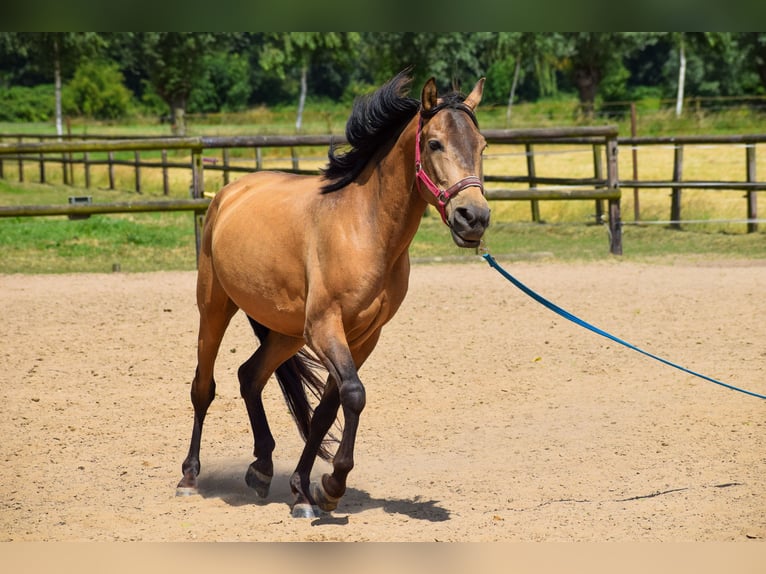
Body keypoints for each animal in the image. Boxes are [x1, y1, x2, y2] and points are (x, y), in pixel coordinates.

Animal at [176, 70, 492, 520]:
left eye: (482, 146)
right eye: (435, 143)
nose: (474, 217)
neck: (364, 227)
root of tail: (230, 192)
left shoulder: (363, 336)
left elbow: (329, 408)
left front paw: (305, 493)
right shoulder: (327, 327)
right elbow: (354, 395)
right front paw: (331, 486)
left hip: (288, 332)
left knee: (250, 376)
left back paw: (262, 469)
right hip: (216, 307)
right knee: (204, 386)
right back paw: (189, 477)